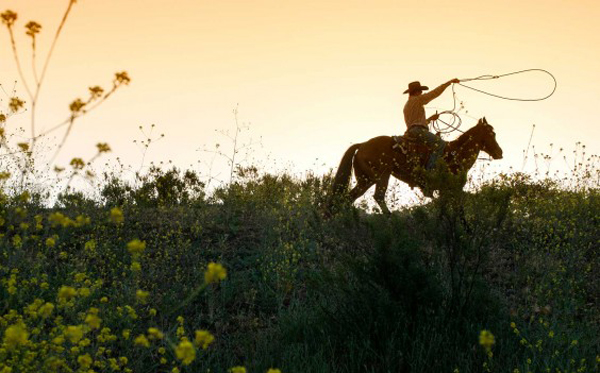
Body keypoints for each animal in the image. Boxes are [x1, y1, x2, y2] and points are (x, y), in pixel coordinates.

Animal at [330, 117, 504, 214]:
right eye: (491, 134)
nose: (499, 152)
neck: (456, 154)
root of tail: (362, 145)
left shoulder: (446, 191)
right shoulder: (452, 189)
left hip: (370, 178)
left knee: (355, 197)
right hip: (377, 176)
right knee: (370, 196)